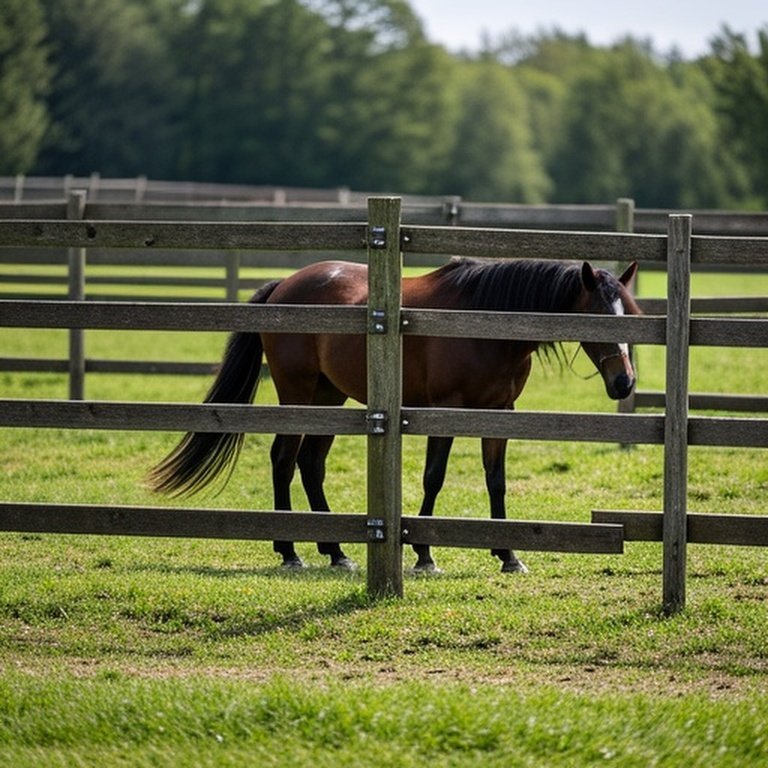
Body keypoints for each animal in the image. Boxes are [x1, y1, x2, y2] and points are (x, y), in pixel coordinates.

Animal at [147, 257, 639, 573]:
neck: (485, 324)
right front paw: (424, 554)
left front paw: (508, 555)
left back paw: (335, 550)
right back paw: (289, 550)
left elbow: (495, 481)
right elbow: (434, 477)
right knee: (284, 460)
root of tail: (284, 286)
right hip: (298, 394)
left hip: (330, 398)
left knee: (310, 464)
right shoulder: (446, 409)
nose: (625, 383)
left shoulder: (500, 412)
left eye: (629, 313)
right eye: (600, 316)